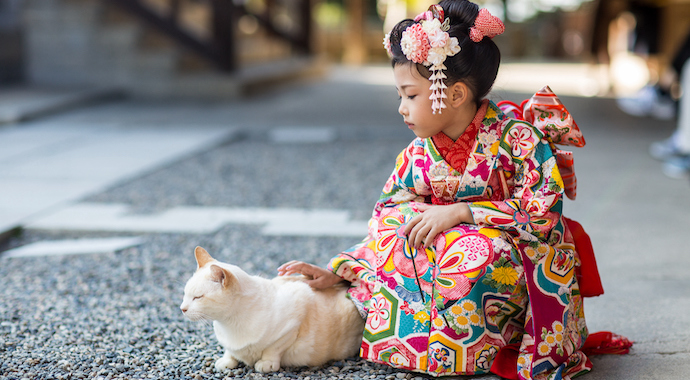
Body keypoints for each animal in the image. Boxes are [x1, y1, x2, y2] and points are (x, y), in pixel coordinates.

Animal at [179, 246, 366, 374]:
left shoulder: (295, 315)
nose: (182, 309)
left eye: (197, 297)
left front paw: (266, 363)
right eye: (185, 294)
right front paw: (227, 360)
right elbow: (229, 350)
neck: (229, 323)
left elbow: (273, 348)